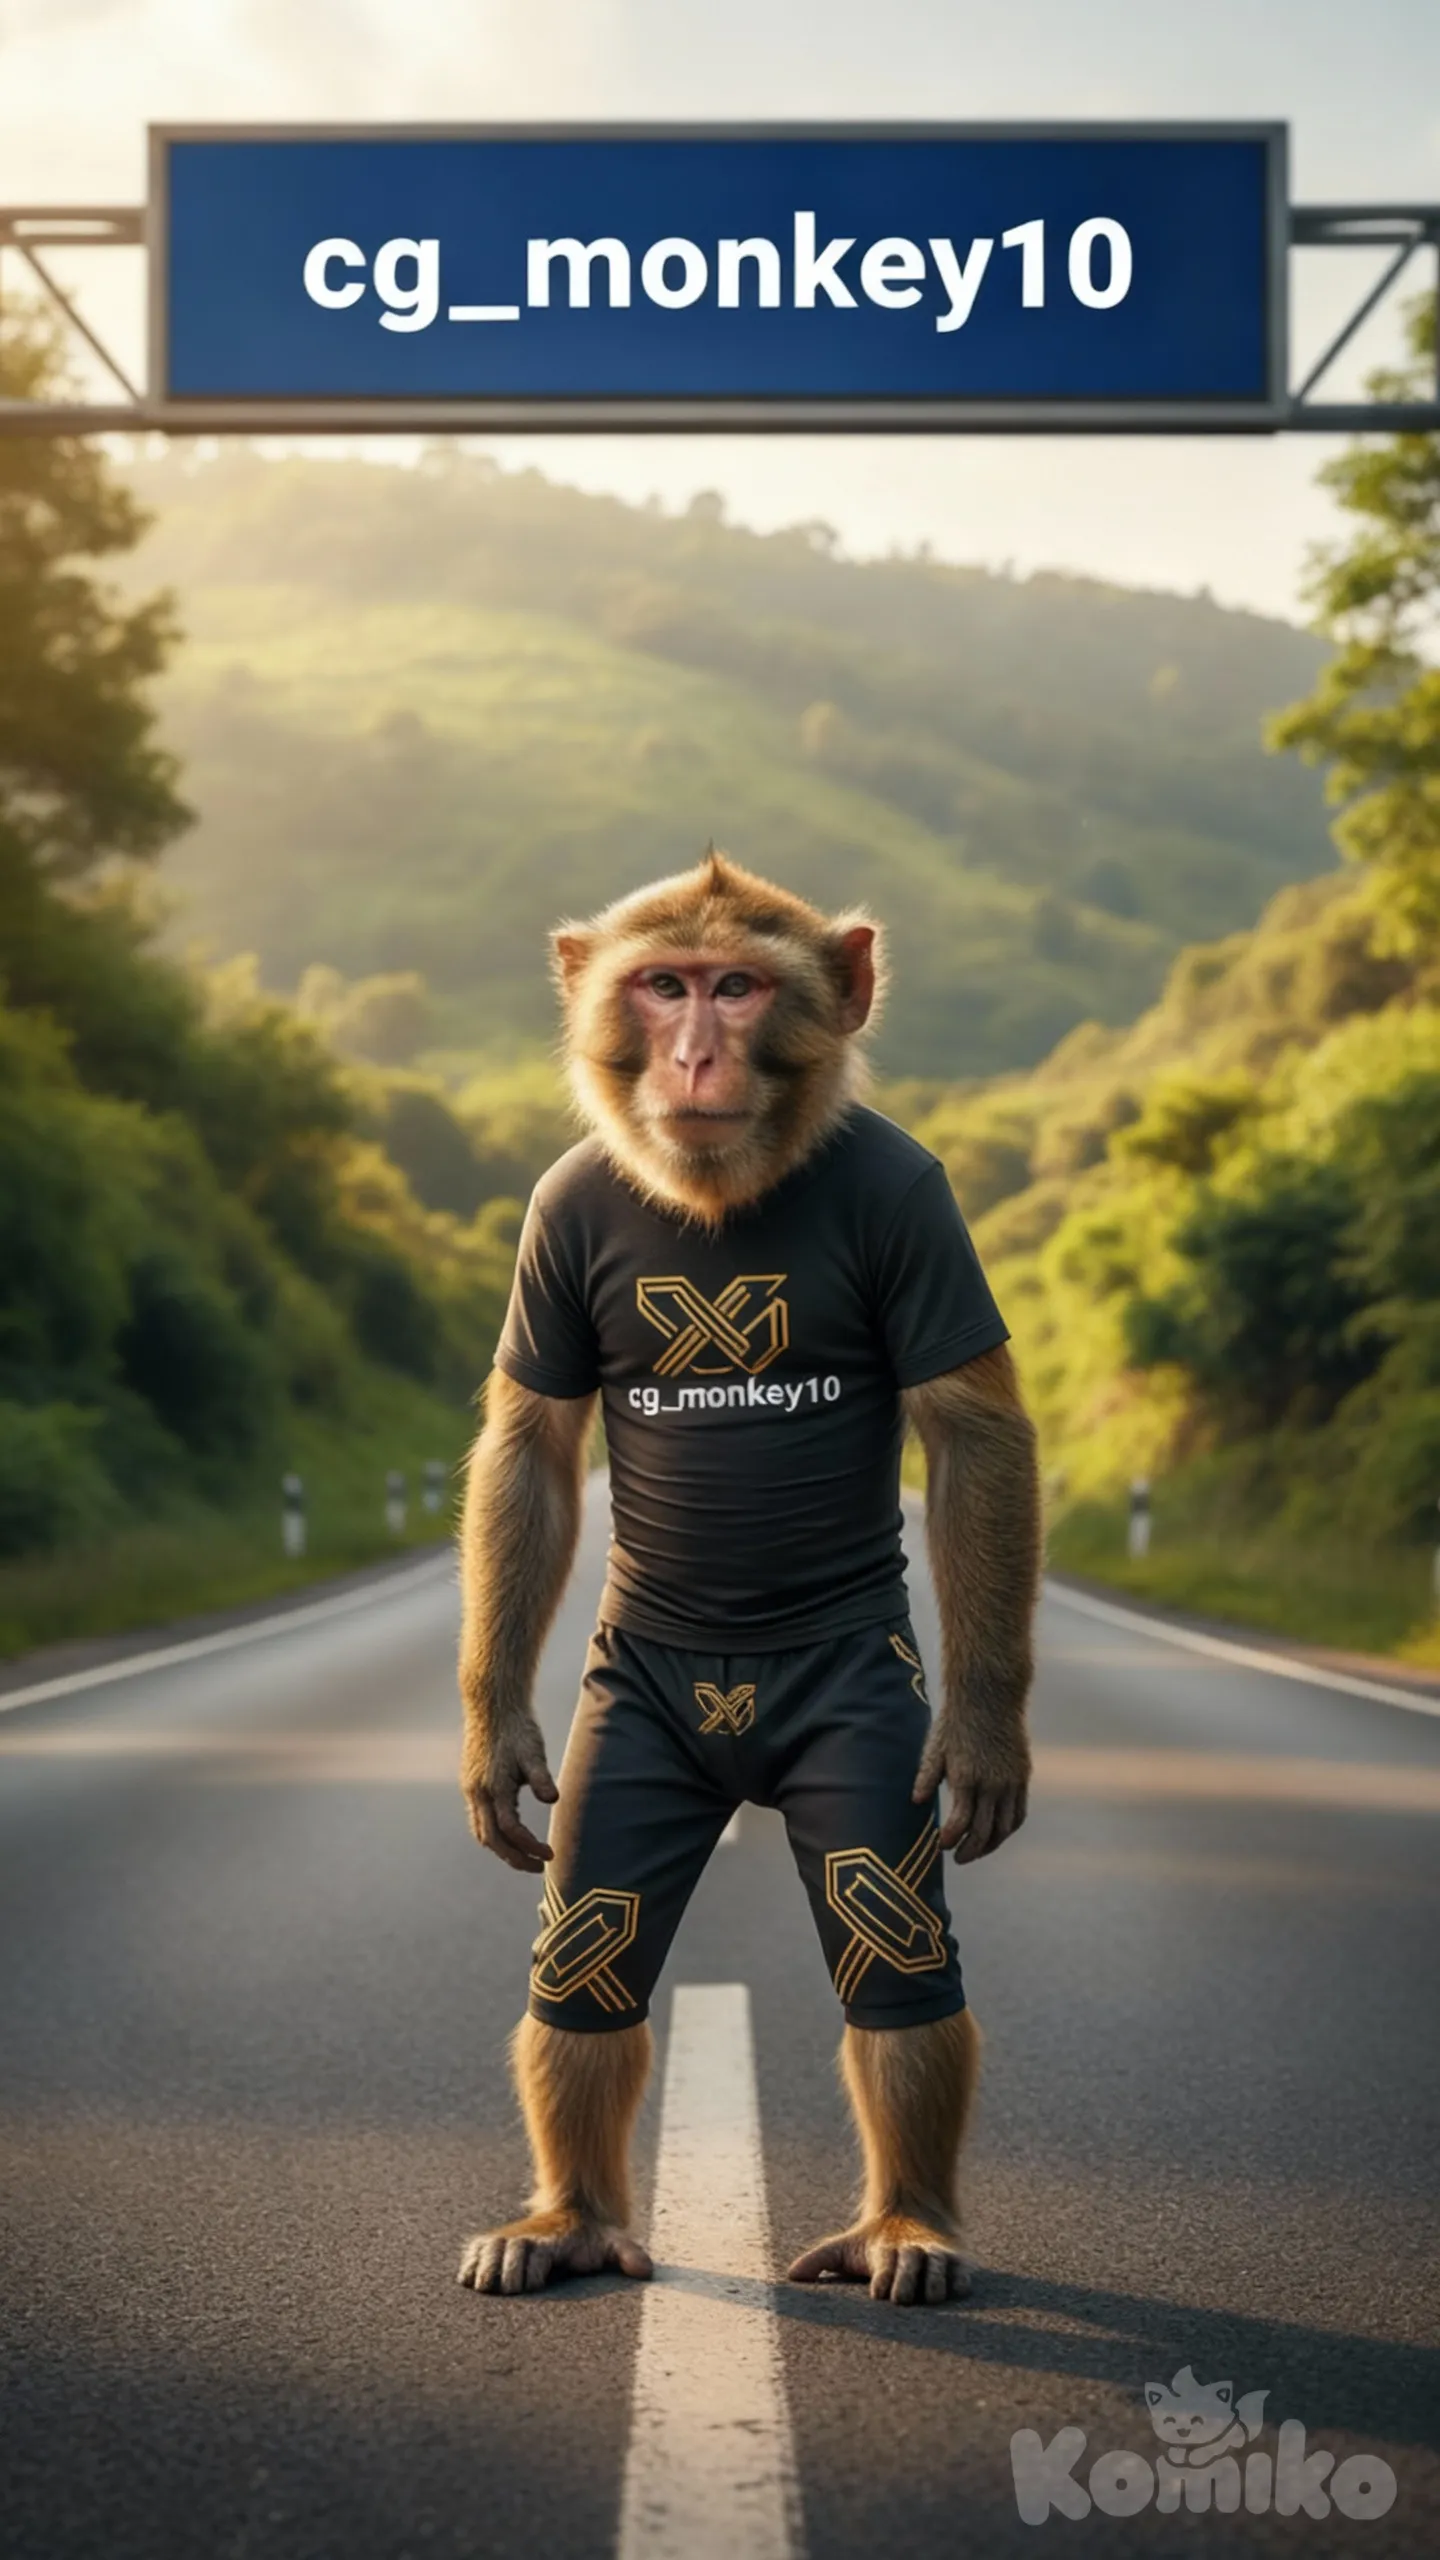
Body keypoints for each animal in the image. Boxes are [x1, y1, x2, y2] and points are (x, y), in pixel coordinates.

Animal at [456, 850, 1040, 2307]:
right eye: (664, 986)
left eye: (738, 986)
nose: (697, 1051)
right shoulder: (554, 1212)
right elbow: (533, 1442)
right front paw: (492, 1741)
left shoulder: (917, 1200)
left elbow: (972, 1433)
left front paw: (990, 1735)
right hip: (638, 1717)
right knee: (592, 1938)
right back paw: (572, 2216)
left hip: (866, 1713)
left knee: (892, 1937)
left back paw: (908, 2223)